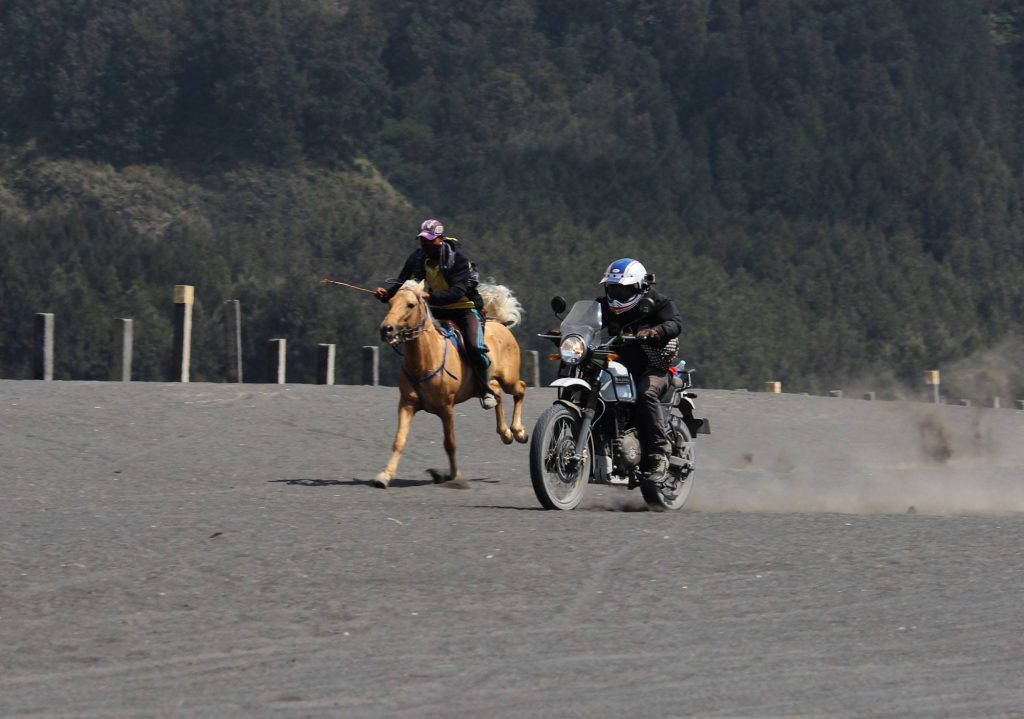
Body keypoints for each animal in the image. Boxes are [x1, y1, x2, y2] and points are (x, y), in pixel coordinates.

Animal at [374, 280, 529, 487]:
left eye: (410, 305)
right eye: (390, 302)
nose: (386, 329)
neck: (426, 360)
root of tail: (499, 323)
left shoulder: (446, 407)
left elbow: (450, 443)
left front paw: (454, 475)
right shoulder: (407, 404)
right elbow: (399, 440)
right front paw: (384, 475)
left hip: (508, 379)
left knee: (520, 388)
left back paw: (518, 432)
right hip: (489, 384)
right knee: (496, 394)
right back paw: (505, 433)